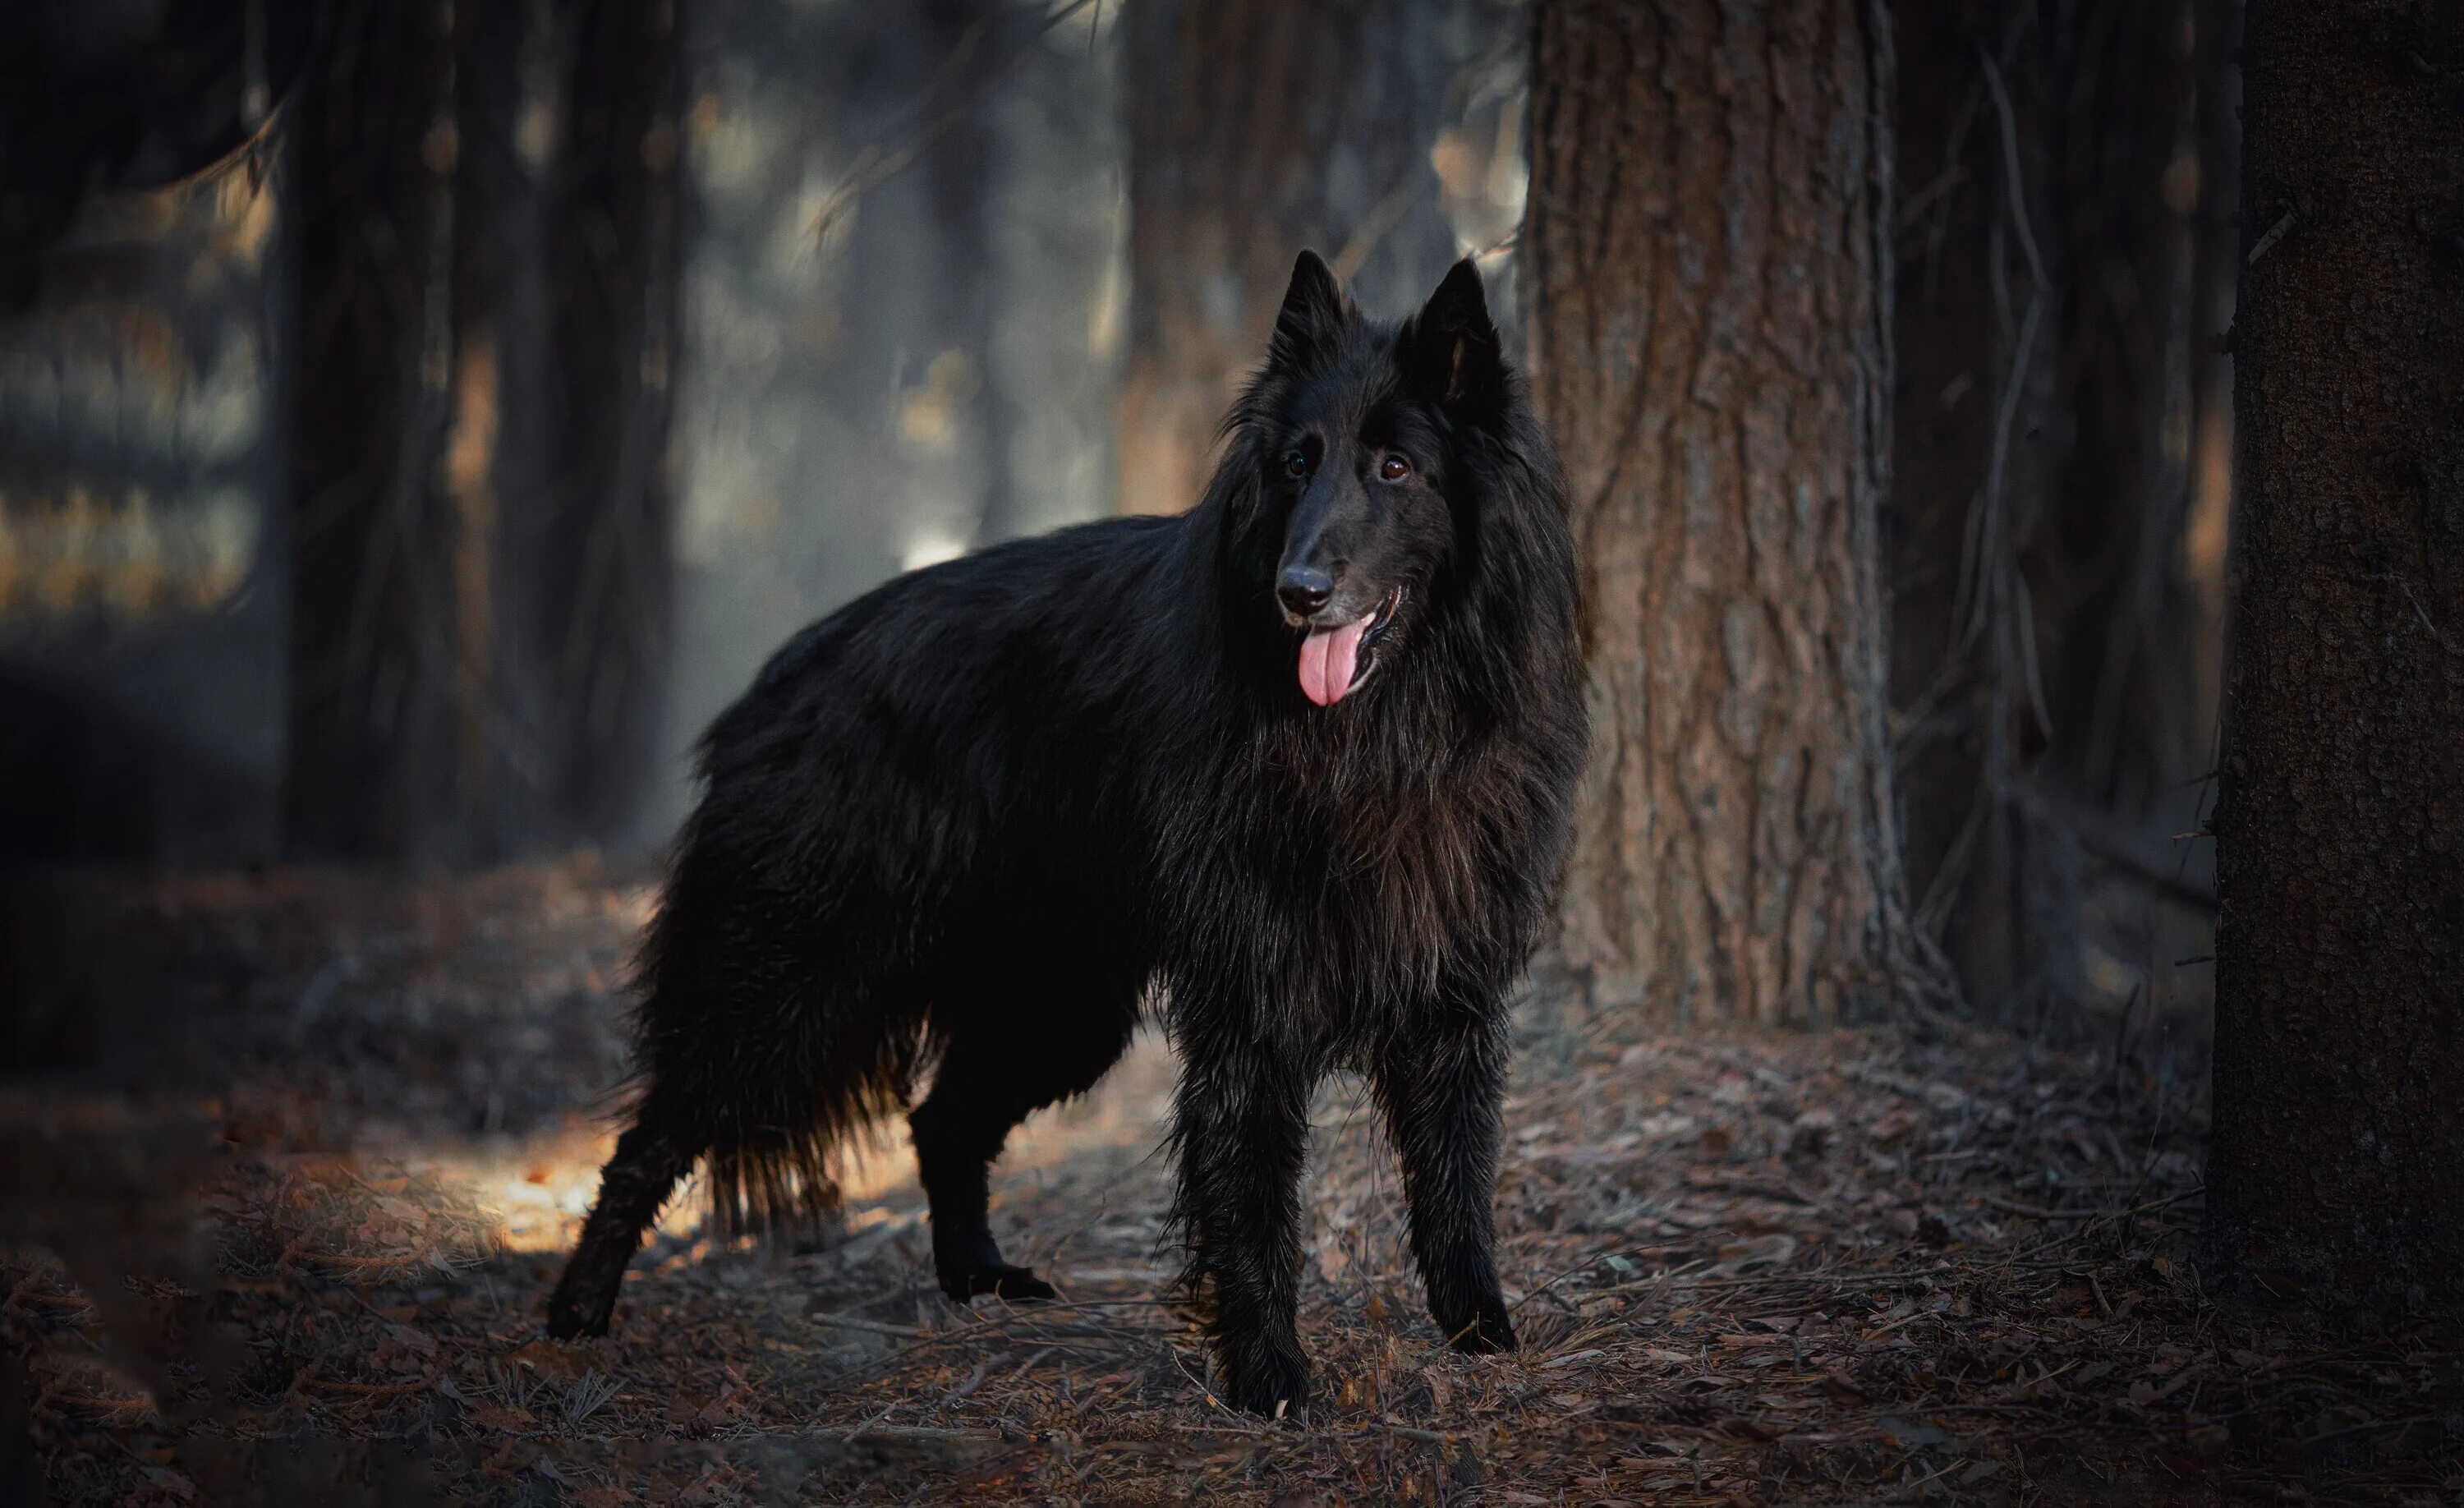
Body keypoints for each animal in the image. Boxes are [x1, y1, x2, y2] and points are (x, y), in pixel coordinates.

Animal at [549, 247, 1587, 1409]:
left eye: (1396, 469)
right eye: (1295, 465)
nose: (1299, 593)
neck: (1386, 736)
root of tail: (779, 678)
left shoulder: (1452, 1000)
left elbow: (1457, 1184)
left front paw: (1480, 1334)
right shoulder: (1251, 1015)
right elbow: (1254, 1201)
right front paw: (1268, 1374)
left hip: (1058, 1008)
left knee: (941, 1120)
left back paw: (976, 1279)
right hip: (787, 986)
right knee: (649, 1139)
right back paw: (577, 1312)